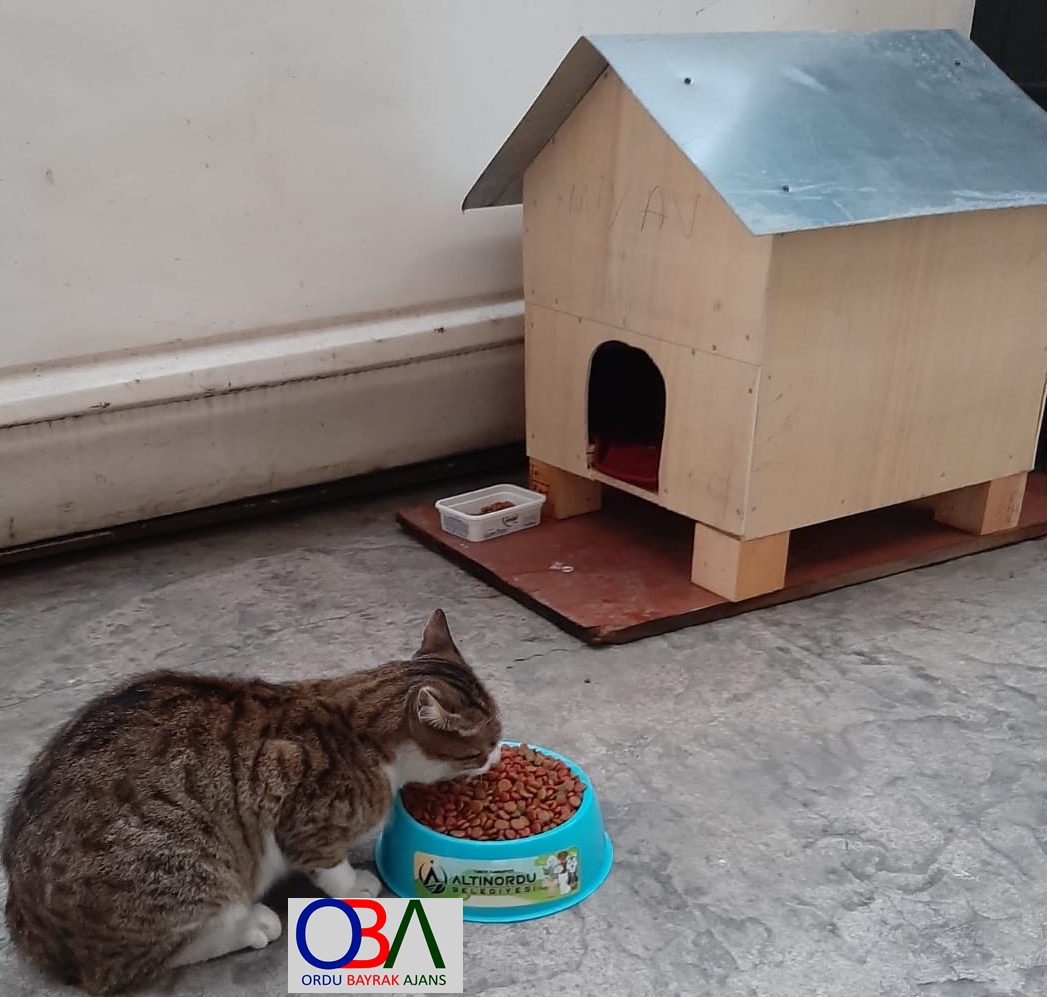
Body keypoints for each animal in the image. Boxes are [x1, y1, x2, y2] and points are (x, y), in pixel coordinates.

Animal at [1, 609, 502, 996]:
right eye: (483, 747)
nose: (498, 755)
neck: (359, 725)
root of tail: (25, 916)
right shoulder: (301, 814)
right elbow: (329, 867)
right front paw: (356, 887)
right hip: (185, 869)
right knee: (123, 969)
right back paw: (250, 925)